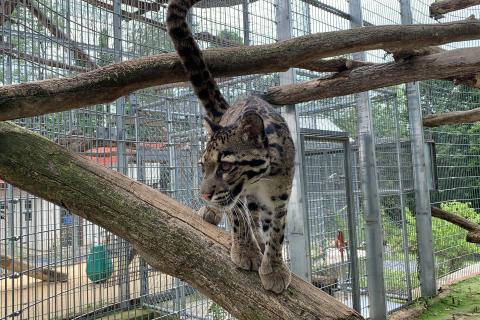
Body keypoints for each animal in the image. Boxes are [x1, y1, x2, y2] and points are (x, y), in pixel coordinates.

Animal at [167, 0, 294, 292]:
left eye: (225, 165)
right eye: (203, 166)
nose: (203, 195)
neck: (261, 178)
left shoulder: (280, 195)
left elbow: (277, 231)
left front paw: (274, 267)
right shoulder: (236, 197)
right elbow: (237, 218)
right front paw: (246, 251)